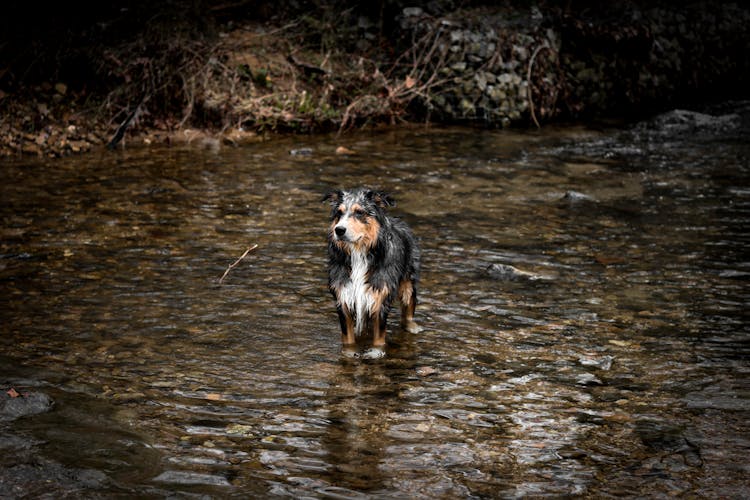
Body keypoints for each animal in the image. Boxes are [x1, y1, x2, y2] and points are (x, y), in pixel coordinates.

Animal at [322, 188, 420, 360]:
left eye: (359, 212)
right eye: (339, 213)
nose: (339, 230)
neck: (358, 253)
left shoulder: (379, 296)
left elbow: (379, 336)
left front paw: (376, 352)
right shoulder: (344, 296)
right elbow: (348, 337)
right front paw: (350, 353)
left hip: (408, 280)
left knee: (409, 305)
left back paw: (412, 326)